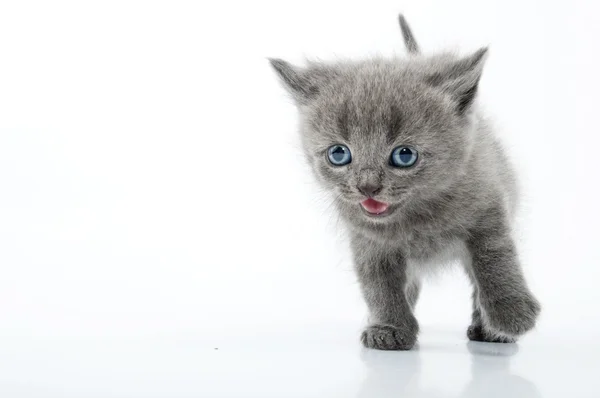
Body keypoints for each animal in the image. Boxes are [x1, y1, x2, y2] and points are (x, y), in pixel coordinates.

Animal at [270, 14, 540, 350]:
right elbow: (379, 285)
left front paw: (511, 314)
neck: (417, 219)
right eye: (338, 154)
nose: (367, 186)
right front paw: (388, 326)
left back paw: (488, 330)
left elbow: (494, 259)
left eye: (405, 155)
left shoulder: (489, 208)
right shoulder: (368, 242)